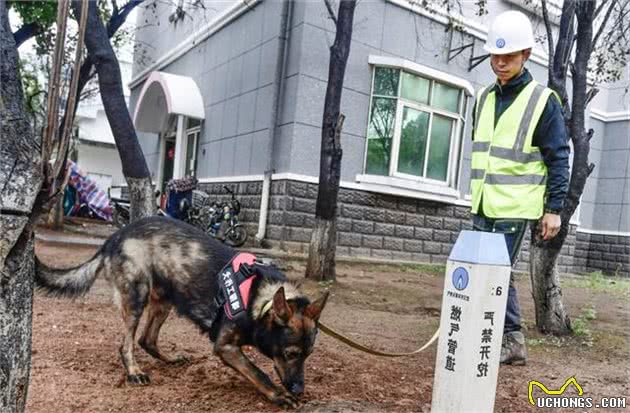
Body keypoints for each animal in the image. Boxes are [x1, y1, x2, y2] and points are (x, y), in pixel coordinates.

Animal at [35, 214, 330, 408]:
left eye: (308, 354)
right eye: (290, 354)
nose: (299, 389)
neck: (260, 298)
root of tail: (115, 237)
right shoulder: (225, 347)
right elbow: (258, 372)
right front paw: (278, 395)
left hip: (165, 300)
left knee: (147, 339)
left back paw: (170, 360)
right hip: (137, 297)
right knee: (127, 343)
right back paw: (134, 372)